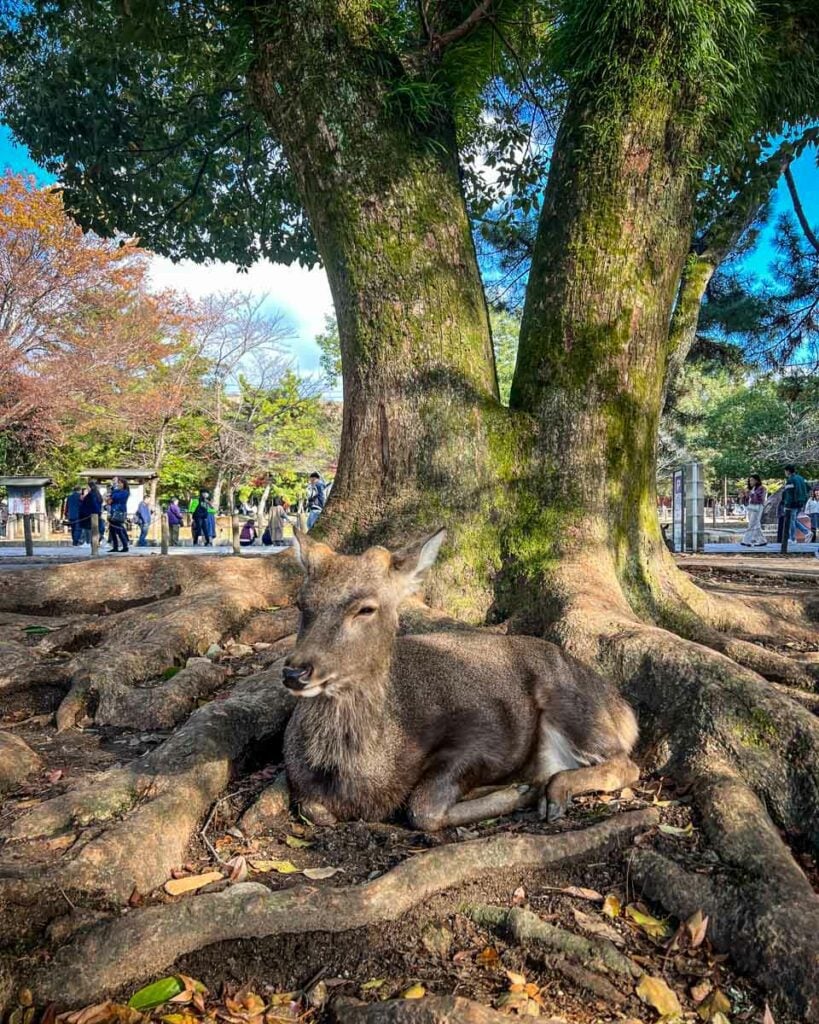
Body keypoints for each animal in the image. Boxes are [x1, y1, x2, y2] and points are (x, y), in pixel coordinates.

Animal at [282, 532, 638, 827]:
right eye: (301, 603)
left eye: (366, 608)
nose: (295, 672)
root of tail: (623, 708)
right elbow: (315, 810)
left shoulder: (487, 731)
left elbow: (422, 808)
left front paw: (518, 791)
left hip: (574, 705)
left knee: (625, 762)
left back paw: (552, 793)